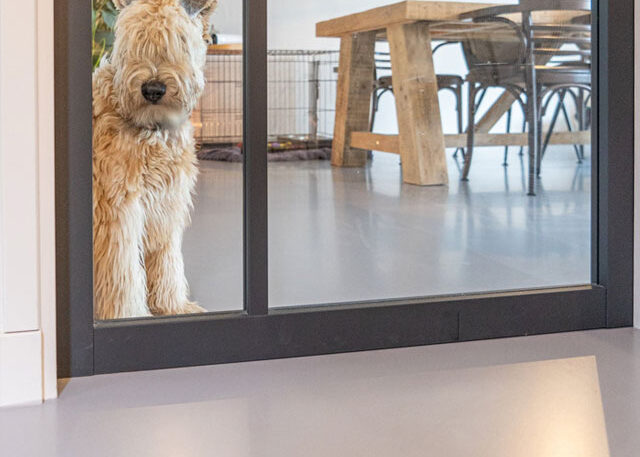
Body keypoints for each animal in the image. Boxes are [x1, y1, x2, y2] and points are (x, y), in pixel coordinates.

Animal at [93, 0, 215, 319]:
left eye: (179, 40)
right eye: (137, 39)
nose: (153, 89)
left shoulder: (165, 204)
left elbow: (166, 259)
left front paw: (172, 306)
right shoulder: (118, 209)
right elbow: (122, 272)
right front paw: (126, 316)